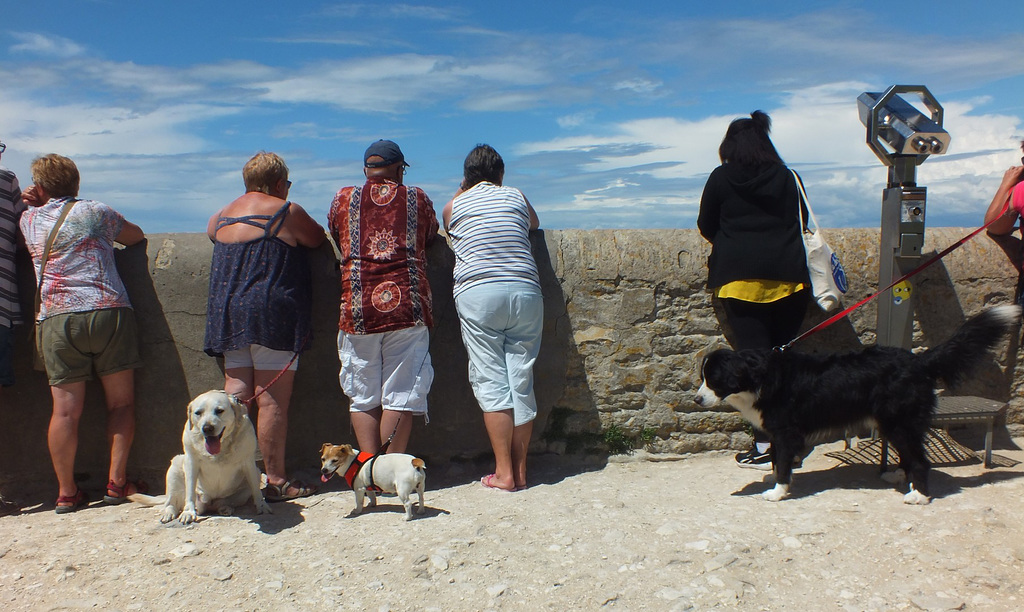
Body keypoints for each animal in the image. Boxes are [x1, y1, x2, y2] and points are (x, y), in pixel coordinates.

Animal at [129, 390, 272, 523]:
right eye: (198, 413)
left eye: (219, 410)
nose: (207, 428)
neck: (221, 447)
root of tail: (208, 504)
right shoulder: (191, 462)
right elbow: (190, 492)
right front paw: (188, 512)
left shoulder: (248, 462)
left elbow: (257, 491)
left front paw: (262, 506)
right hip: (176, 465)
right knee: (171, 502)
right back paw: (169, 512)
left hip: (255, 475)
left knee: (223, 502)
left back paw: (225, 508)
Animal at [692, 304, 1019, 505]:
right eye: (703, 378)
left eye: (714, 379)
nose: (697, 398)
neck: (758, 376)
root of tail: (918, 360)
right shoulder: (776, 432)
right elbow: (775, 459)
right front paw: (775, 479)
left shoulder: (786, 432)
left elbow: (783, 460)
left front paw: (778, 491)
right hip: (892, 423)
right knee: (908, 455)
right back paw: (899, 475)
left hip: (900, 422)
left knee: (920, 460)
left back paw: (919, 496)